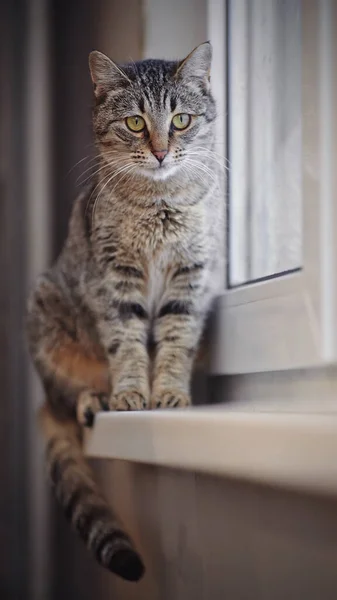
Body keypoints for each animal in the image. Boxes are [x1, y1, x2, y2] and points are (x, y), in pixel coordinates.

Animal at [26, 42, 223, 580]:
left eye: (180, 120)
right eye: (135, 123)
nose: (159, 150)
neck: (159, 202)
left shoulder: (189, 277)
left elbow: (175, 341)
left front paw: (170, 392)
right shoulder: (115, 280)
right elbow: (127, 343)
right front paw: (132, 393)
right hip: (47, 319)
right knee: (66, 399)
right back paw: (95, 399)